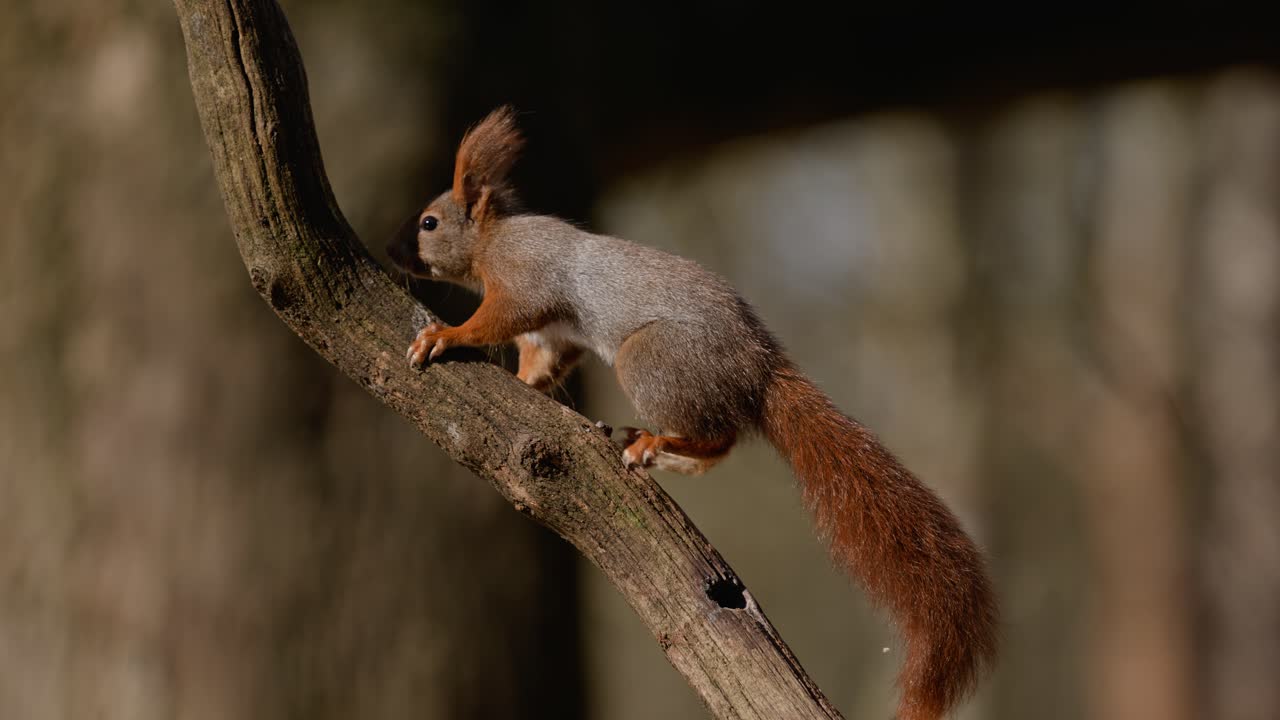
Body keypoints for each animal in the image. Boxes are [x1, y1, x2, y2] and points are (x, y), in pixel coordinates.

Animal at [386, 107, 998, 720]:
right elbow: (539, 363)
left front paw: (445, 335)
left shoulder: (527, 278)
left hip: (649, 360)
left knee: (718, 436)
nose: (393, 252)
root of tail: (759, 368)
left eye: (429, 223)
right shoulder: (551, 336)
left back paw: (656, 445)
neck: (494, 239)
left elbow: (499, 317)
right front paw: (521, 384)